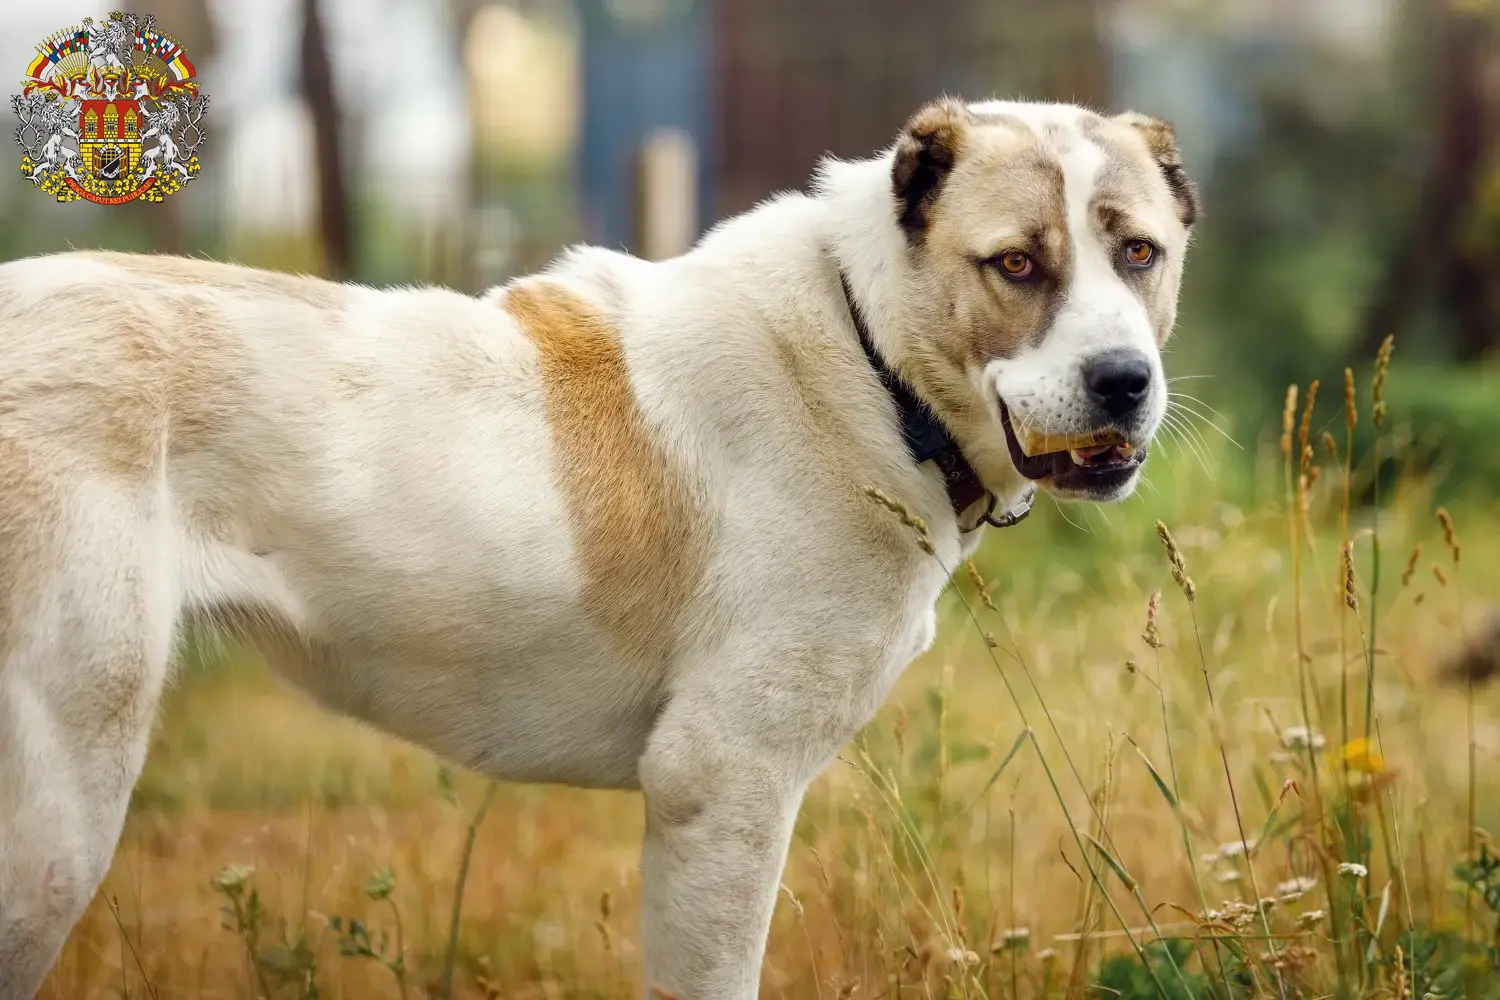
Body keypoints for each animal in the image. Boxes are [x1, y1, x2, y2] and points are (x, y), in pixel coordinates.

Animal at [0, 97, 1194, 995]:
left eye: (1140, 253)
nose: (1123, 382)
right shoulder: (723, 786)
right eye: (1017, 265)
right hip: (57, 817)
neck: (868, 353)